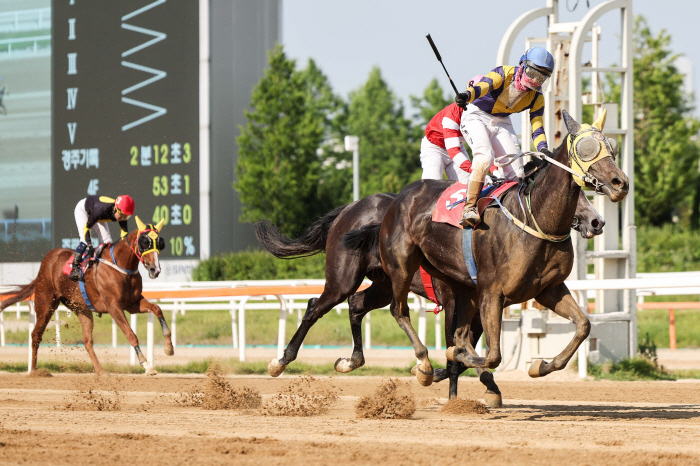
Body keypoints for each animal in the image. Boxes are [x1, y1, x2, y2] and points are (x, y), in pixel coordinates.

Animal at [2, 217, 172, 374]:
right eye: (144, 242)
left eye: (160, 242)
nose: (155, 269)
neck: (121, 266)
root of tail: (46, 262)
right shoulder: (114, 306)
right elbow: (131, 334)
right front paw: (146, 365)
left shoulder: (132, 303)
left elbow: (157, 309)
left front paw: (169, 348)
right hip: (45, 304)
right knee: (36, 335)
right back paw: (33, 371)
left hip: (82, 309)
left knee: (87, 340)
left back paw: (101, 371)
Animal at [372, 109, 628, 386]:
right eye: (586, 148)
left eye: (612, 148)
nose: (620, 183)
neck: (534, 219)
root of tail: (400, 197)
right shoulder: (492, 292)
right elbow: (492, 355)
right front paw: (453, 357)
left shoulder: (548, 288)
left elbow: (583, 325)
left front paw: (540, 365)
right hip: (402, 267)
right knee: (399, 310)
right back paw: (424, 365)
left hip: (457, 283)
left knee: (456, 327)